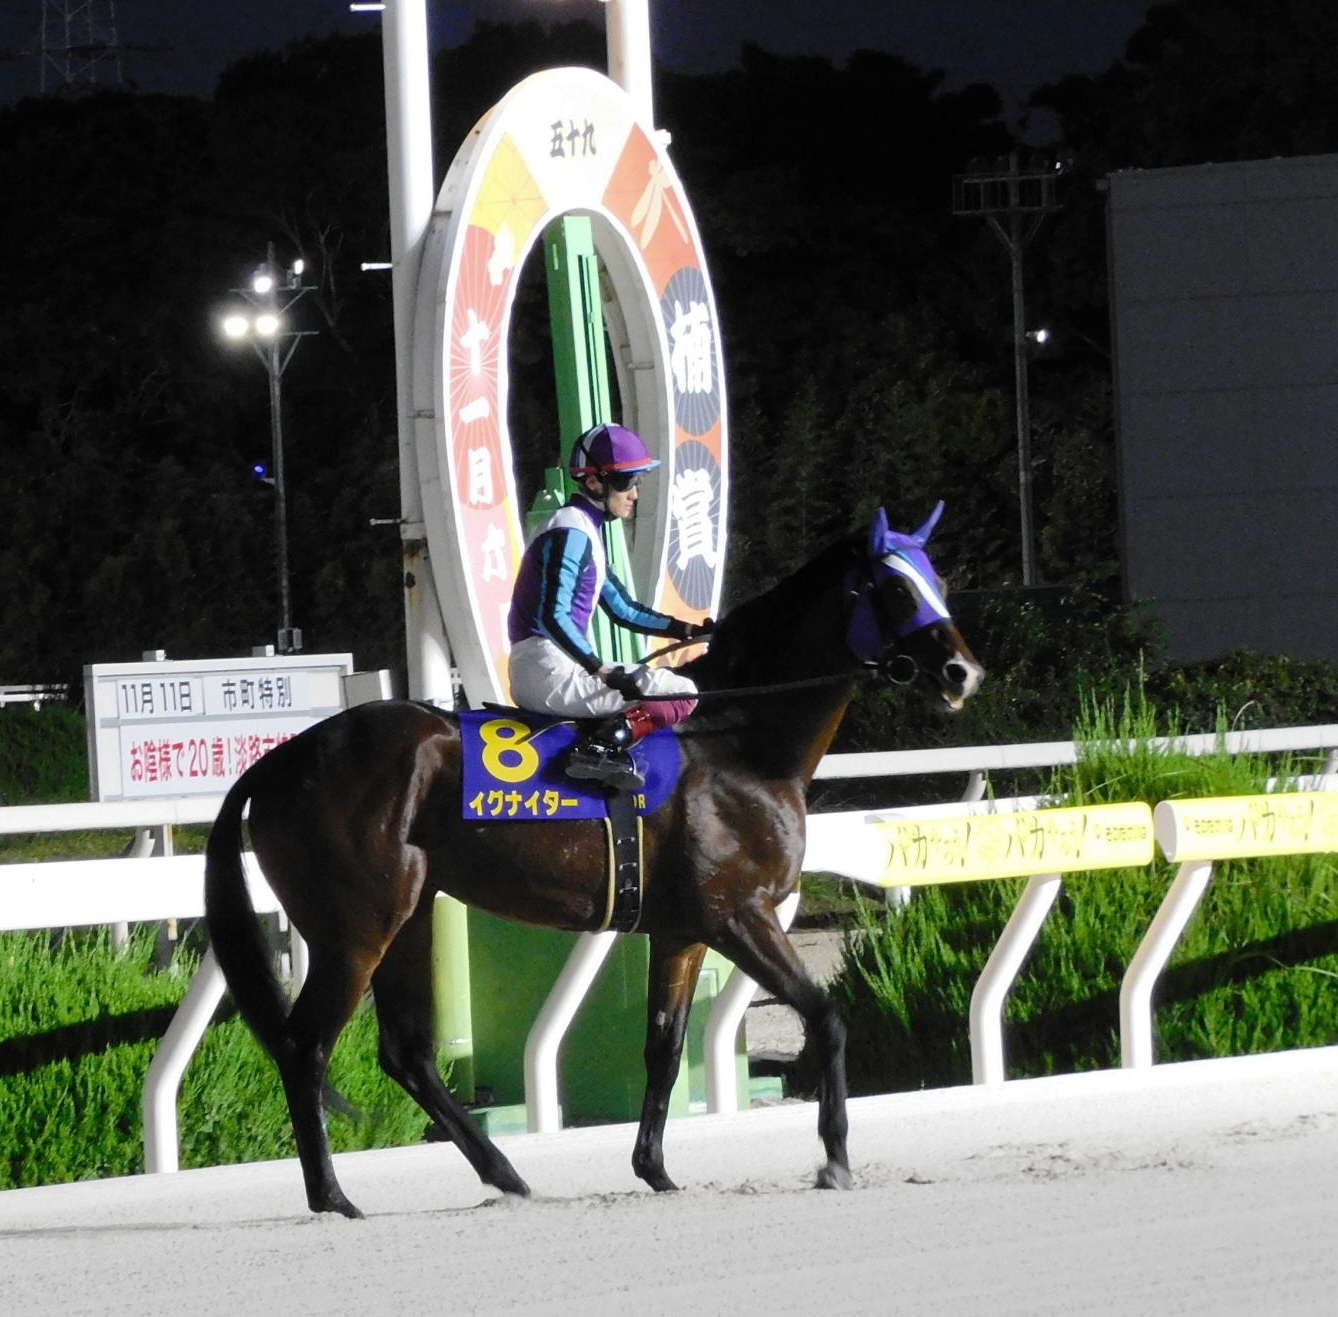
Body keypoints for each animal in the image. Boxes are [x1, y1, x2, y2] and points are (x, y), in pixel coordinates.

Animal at [203, 504, 984, 1217]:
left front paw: (655, 1168)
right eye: (895, 587)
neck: (739, 742)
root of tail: (278, 761)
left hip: (411, 914)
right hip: (355, 927)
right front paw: (835, 1158)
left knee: (406, 1051)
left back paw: (507, 1174)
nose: (962, 672)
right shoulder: (740, 916)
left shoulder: (681, 931)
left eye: (939, 579)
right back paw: (333, 1195)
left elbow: (665, 1047)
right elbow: (825, 1015)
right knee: (306, 1045)